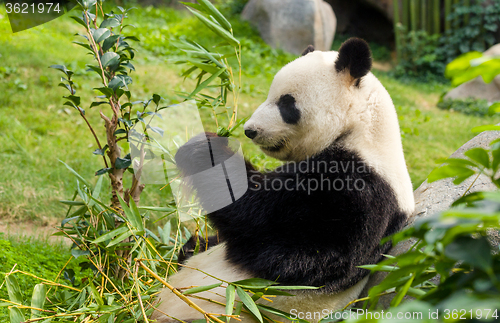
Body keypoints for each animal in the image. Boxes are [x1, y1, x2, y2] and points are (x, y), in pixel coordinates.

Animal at [151, 38, 414, 323]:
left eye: (287, 103)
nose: (250, 130)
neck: (362, 130)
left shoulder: (360, 194)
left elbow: (283, 247)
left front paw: (205, 148)